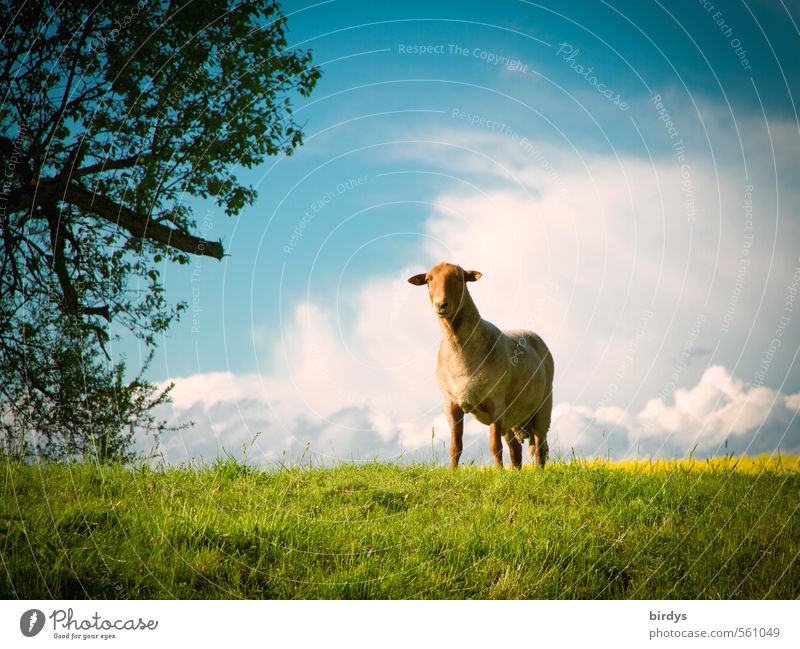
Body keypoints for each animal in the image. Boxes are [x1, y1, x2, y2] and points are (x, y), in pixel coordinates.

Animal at [410, 260, 552, 468]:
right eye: (428, 280)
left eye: (459, 277)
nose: (441, 304)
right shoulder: (451, 405)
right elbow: (456, 447)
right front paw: (452, 472)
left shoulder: (496, 403)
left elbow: (494, 446)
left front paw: (499, 473)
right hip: (512, 416)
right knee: (516, 451)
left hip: (543, 405)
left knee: (541, 448)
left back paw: (538, 473)